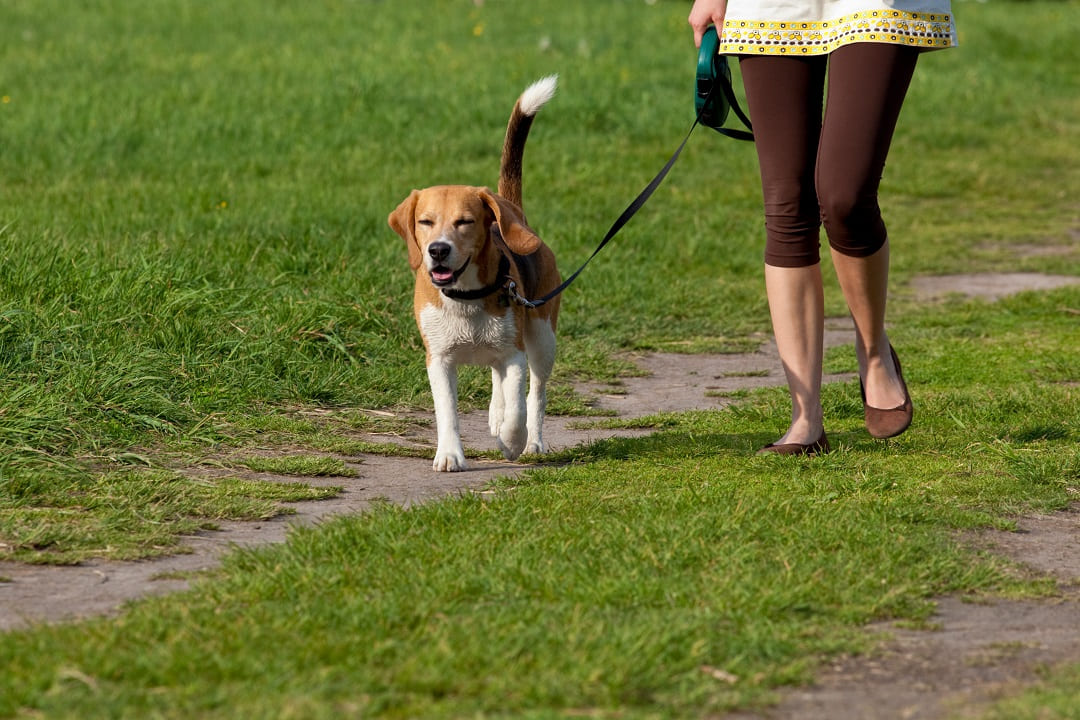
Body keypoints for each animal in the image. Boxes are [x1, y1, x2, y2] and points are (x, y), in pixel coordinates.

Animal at [388, 76, 561, 472]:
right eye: (425, 222)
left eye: (464, 222)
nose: (438, 250)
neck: (465, 297)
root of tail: (517, 215)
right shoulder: (438, 360)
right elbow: (447, 412)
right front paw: (450, 454)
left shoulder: (515, 354)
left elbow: (518, 407)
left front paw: (512, 441)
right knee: (499, 382)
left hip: (543, 338)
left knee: (536, 394)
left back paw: (533, 443)